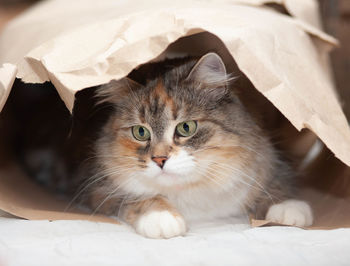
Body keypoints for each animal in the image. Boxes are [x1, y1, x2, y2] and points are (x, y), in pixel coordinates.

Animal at [76, 52, 312, 239]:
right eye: (140, 132)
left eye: (186, 127)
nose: (159, 159)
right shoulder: (98, 189)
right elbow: (140, 198)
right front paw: (162, 218)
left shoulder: (266, 160)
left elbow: (276, 185)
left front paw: (289, 209)